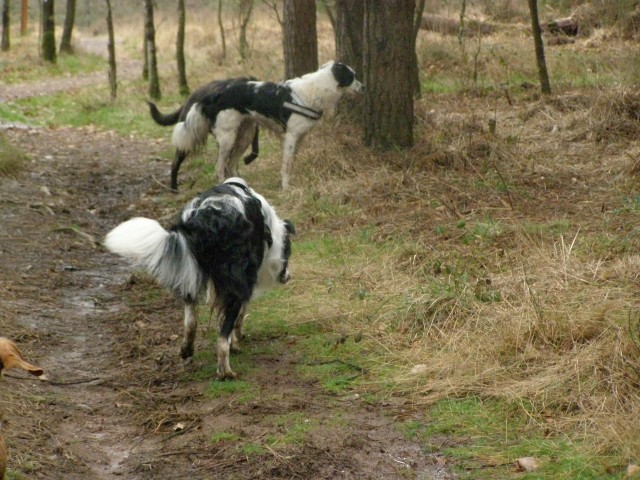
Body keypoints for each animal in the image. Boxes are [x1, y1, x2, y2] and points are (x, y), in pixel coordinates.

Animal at [104, 176, 296, 378]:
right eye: (288, 251)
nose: (288, 276)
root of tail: (206, 217)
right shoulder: (244, 282)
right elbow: (237, 318)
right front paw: (236, 341)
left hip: (190, 276)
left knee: (190, 322)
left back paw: (187, 350)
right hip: (235, 283)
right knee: (221, 339)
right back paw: (226, 372)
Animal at [147, 61, 362, 191]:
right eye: (352, 77)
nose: (364, 87)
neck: (314, 90)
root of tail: (213, 93)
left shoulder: (299, 138)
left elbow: (291, 163)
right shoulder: (291, 136)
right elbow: (286, 165)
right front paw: (286, 188)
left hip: (246, 134)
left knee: (231, 164)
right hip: (228, 138)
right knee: (219, 167)